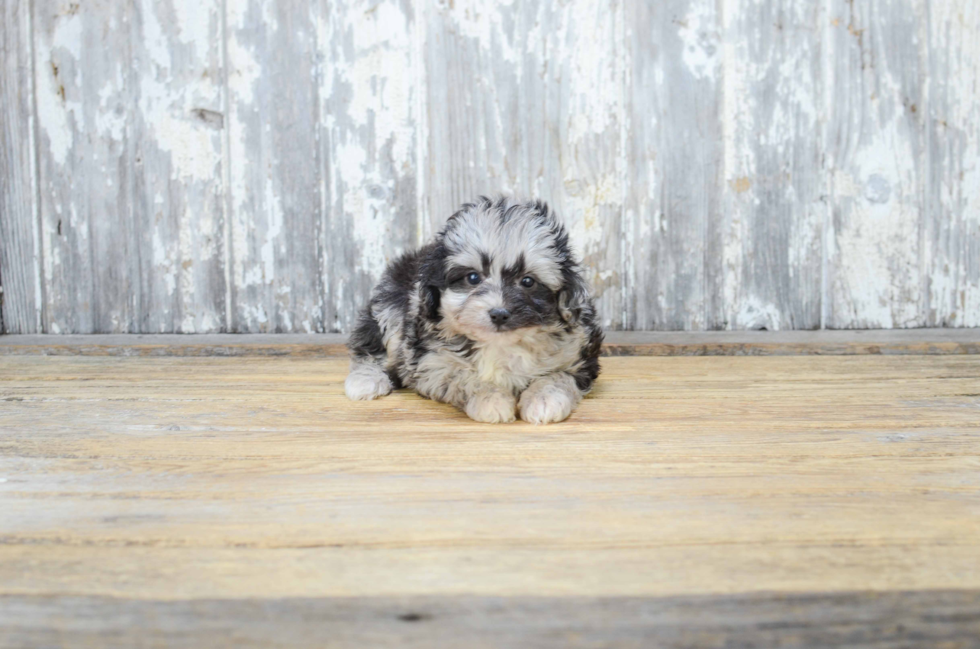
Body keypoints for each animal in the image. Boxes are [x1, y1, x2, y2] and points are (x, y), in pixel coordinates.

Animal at [344, 195, 604, 422]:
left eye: (528, 281)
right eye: (472, 278)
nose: (499, 314)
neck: (501, 345)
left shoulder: (579, 355)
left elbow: (558, 376)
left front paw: (544, 399)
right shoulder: (433, 363)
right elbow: (465, 377)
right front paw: (492, 399)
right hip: (389, 307)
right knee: (373, 348)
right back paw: (365, 380)